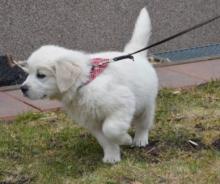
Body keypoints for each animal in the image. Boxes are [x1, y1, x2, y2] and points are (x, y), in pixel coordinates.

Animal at [21, 7, 158, 164]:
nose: (22, 89)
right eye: (28, 73)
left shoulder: (122, 102)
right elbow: (105, 139)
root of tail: (134, 54)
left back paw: (140, 139)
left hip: (146, 103)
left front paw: (125, 139)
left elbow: (111, 129)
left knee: (144, 123)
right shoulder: (92, 122)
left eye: (41, 75)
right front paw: (112, 157)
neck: (83, 83)